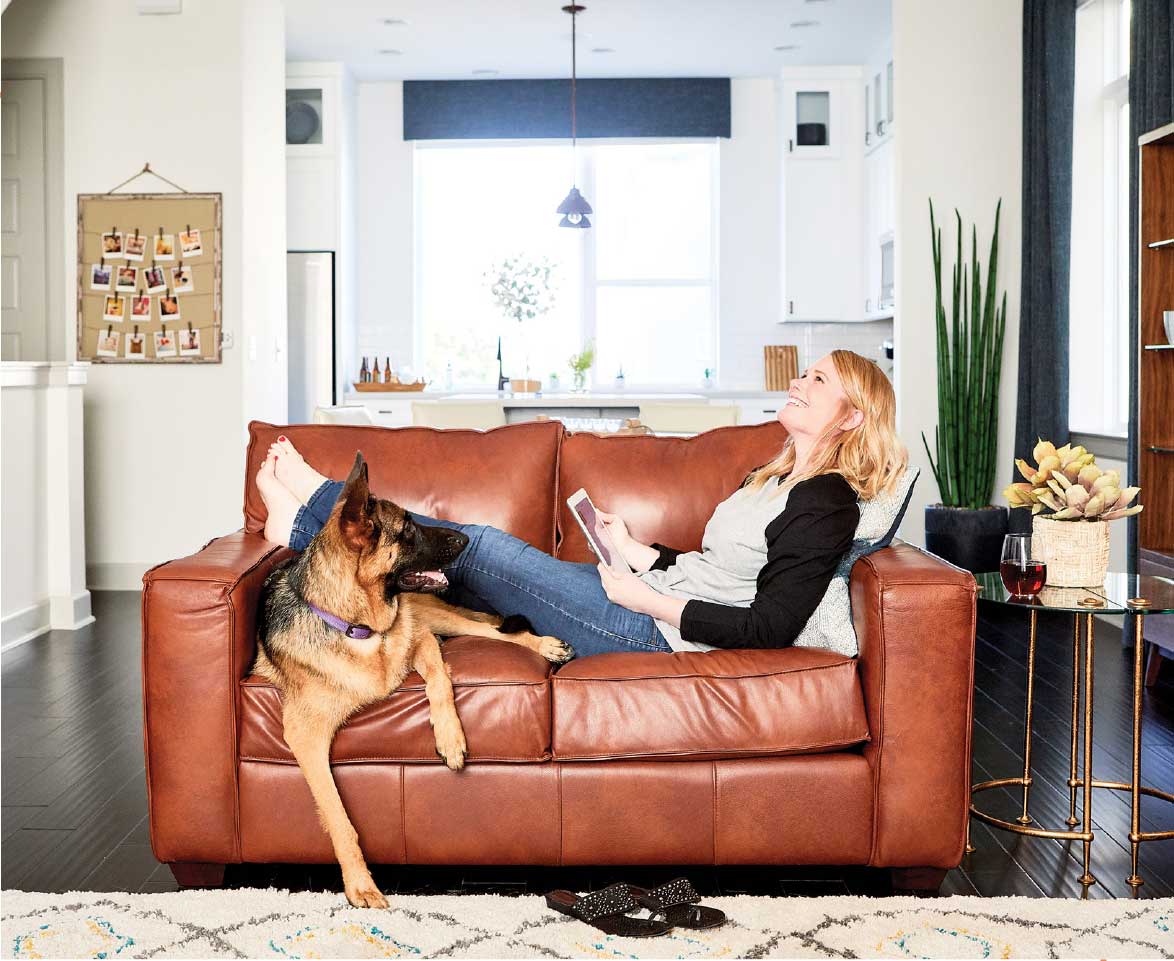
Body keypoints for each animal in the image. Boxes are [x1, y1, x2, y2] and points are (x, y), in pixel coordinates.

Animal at [253, 455, 572, 905]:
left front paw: (450, 738)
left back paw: (544, 645)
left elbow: (441, 681)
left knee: (494, 630)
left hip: (437, 617)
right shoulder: (305, 737)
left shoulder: (420, 638)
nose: (466, 538)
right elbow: (337, 815)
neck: (361, 628)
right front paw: (360, 883)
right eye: (406, 529)